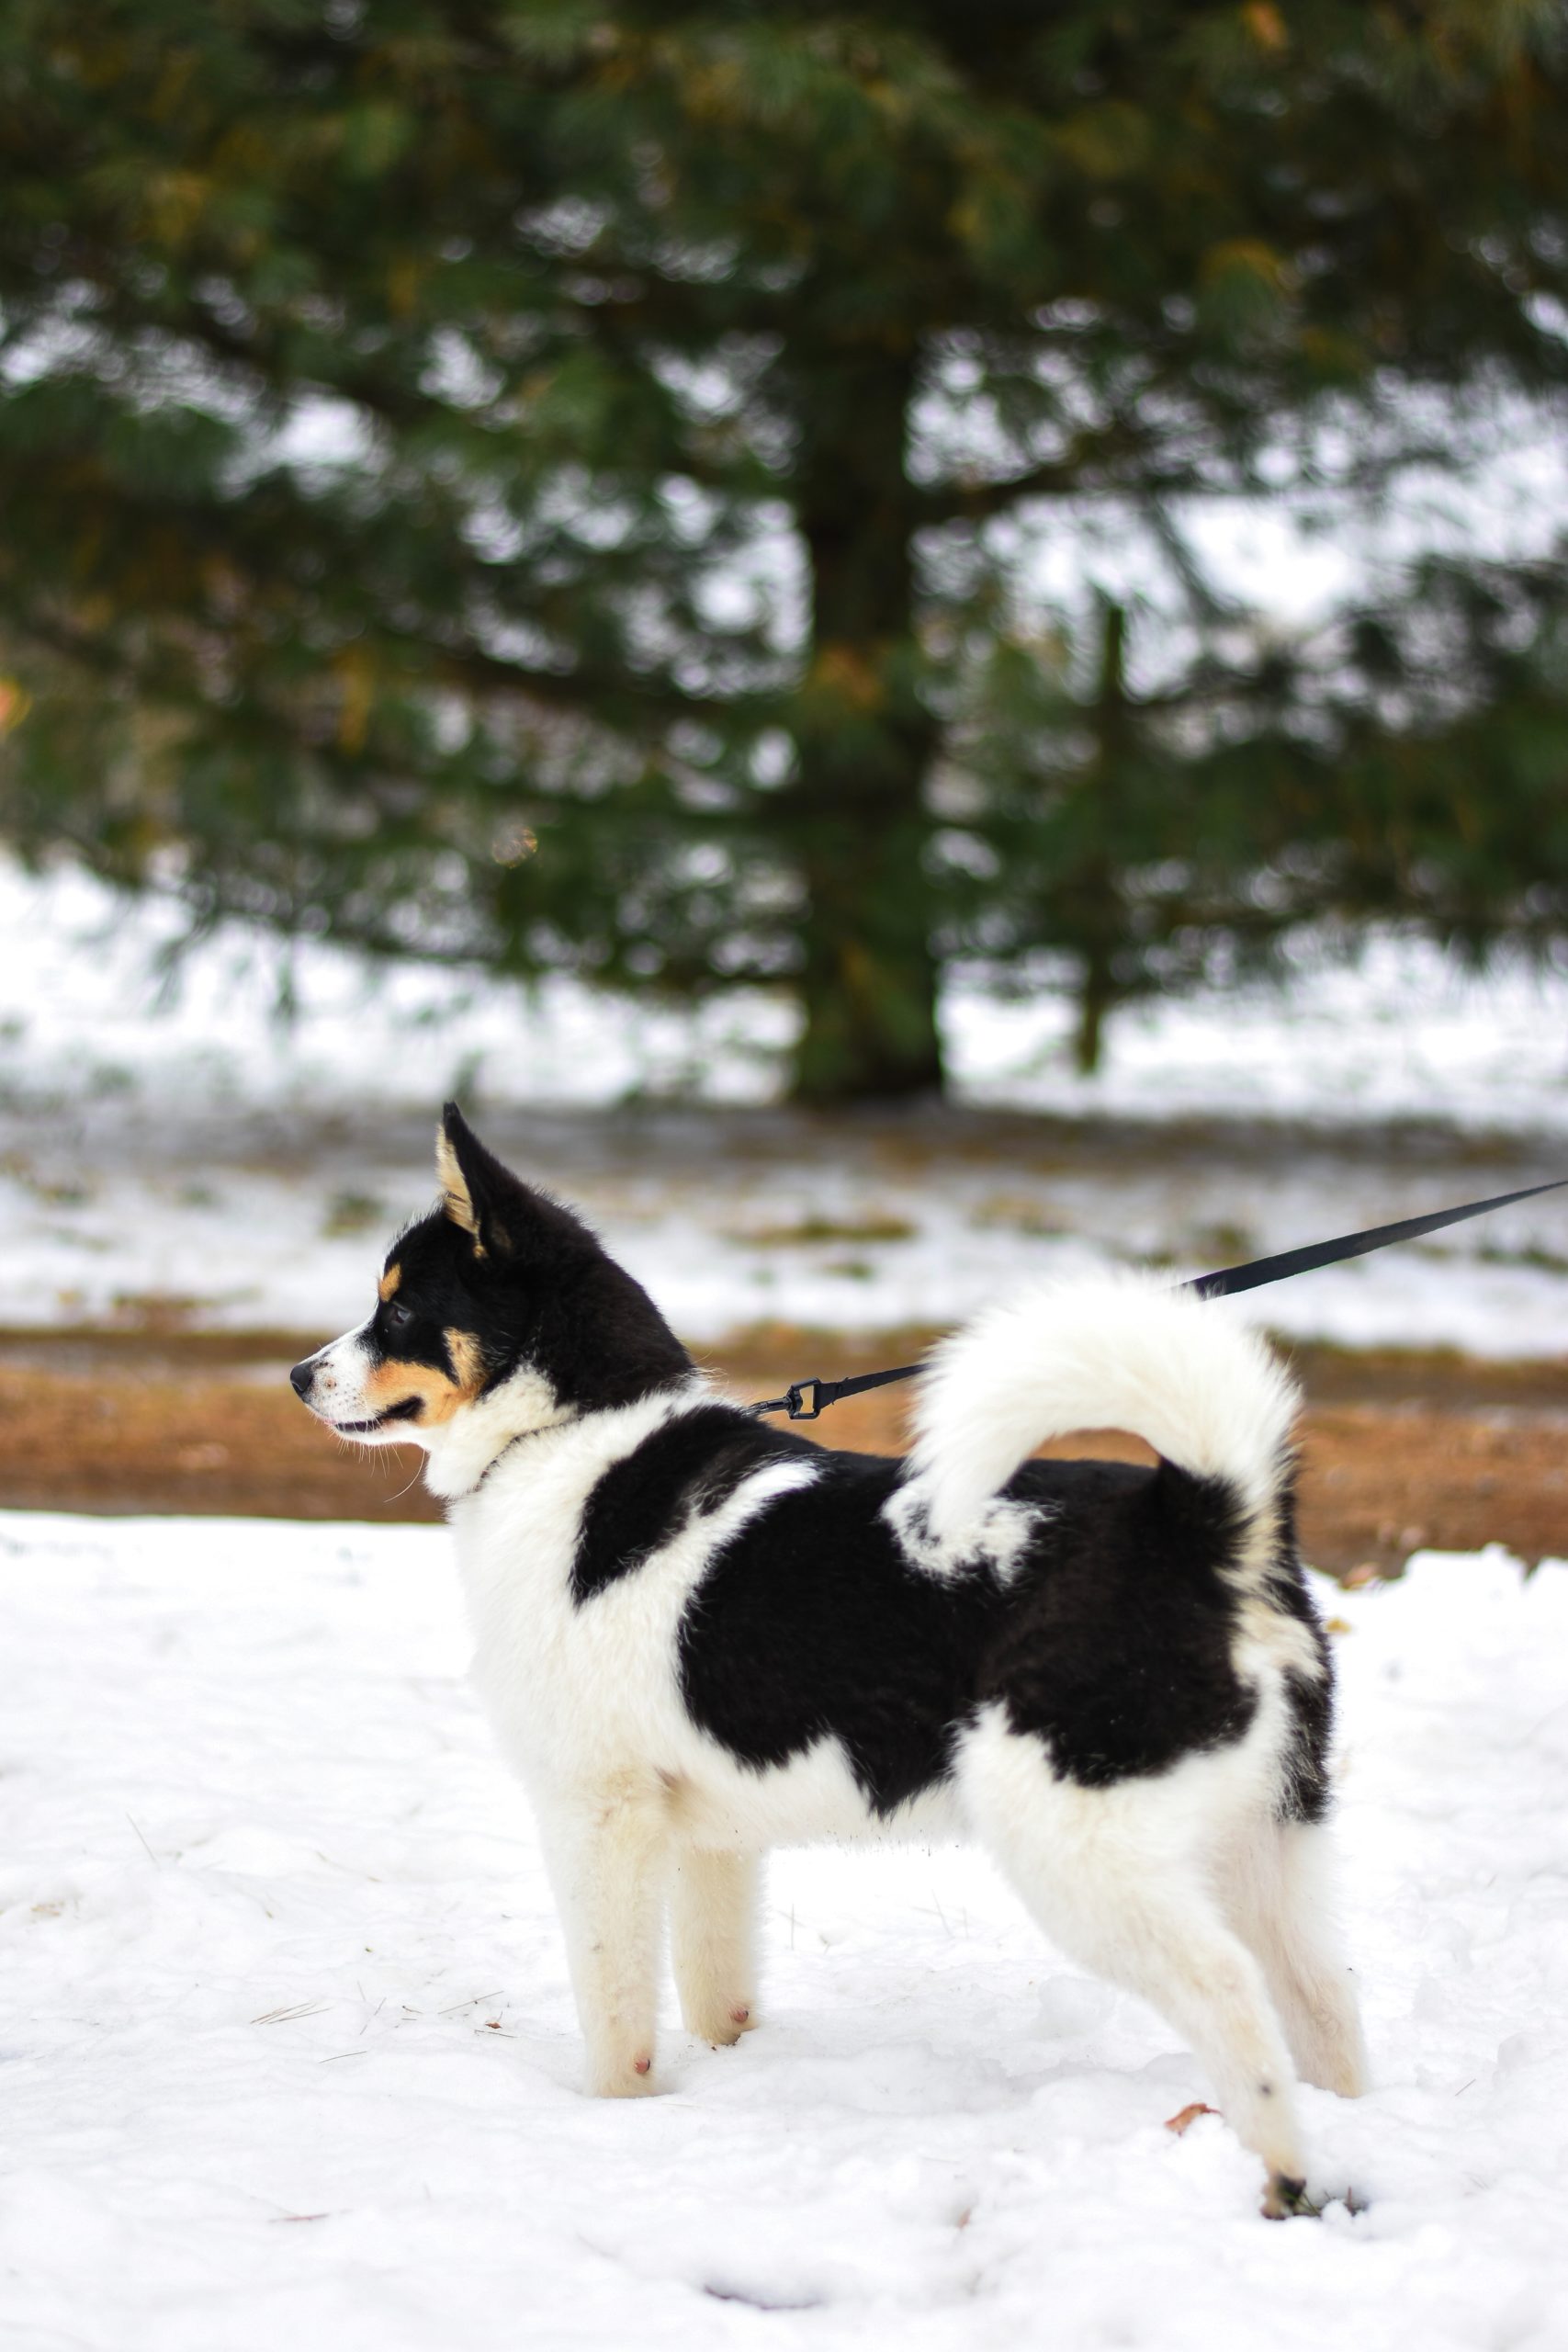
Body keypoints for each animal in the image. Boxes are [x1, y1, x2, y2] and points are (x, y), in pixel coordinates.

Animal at [288, 1095, 1363, 2201]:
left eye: (399, 1312)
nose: (296, 1377)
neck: (566, 1439)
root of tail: (1199, 1524)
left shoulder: (599, 1812)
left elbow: (615, 2008)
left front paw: (615, 2122)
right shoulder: (709, 1832)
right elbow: (715, 1989)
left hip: (1084, 1847)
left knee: (1230, 1991)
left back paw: (1281, 2176)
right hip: (1267, 1838)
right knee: (1323, 2004)